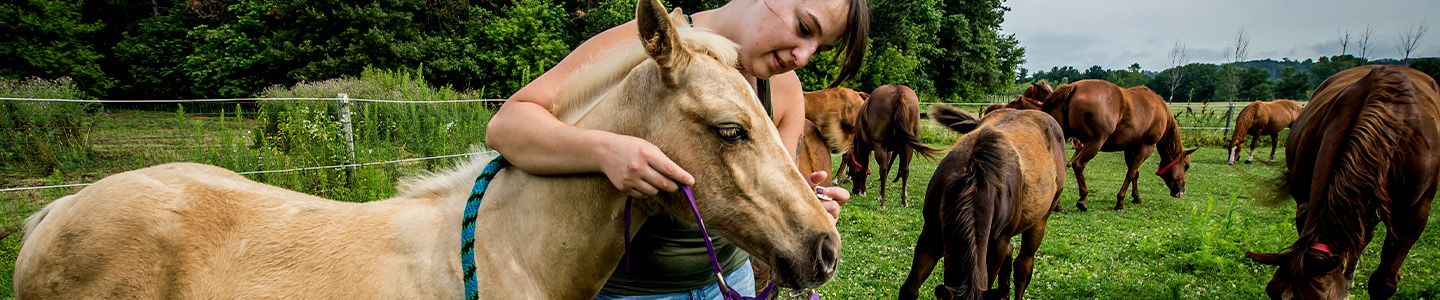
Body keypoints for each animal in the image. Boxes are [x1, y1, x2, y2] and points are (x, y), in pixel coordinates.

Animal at [898, 105, 1071, 300]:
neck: (974, 180)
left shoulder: (997, 244)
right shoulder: (931, 234)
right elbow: (909, 289)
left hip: (1040, 221)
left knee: (1023, 266)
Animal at [1042, 79, 1198, 210]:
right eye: (1187, 166)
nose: (1181, 190)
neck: (1159, 109)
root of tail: (1074, 87)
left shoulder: (1130, 147)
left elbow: (1135, 173)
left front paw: (1136, 197)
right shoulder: (1147, 146)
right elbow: (1131, 173)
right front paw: (1120, 202)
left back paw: (1057, 205)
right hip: (1095, 142)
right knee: (1078, 165)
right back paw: (1083, 199)